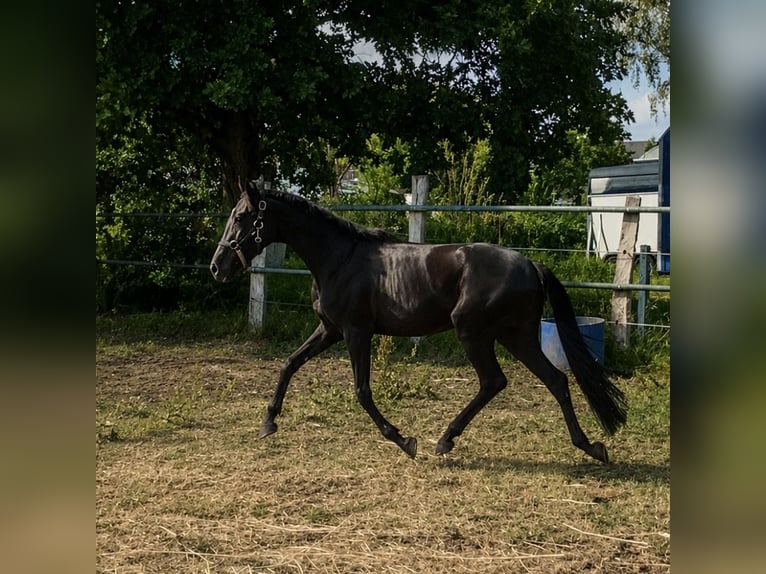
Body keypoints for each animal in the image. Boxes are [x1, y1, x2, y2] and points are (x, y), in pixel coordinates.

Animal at [210, 184, 626, 463]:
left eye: (241, 217)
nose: (218, 267)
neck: (338, 259)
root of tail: (531, 265)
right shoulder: (330, 330)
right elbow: (289, 364)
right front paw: (268, 423)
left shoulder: (356, 332)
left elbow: (362, 391)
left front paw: (403, 441)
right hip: (515, 335)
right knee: (554, 380)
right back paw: (591, 446)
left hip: (474, 332)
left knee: (495, 381)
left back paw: (445, 440)